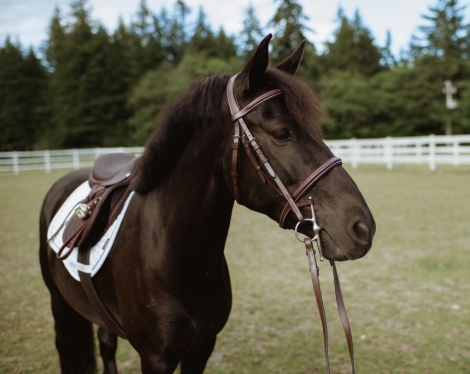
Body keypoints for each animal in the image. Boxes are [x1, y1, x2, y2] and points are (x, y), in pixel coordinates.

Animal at [39, 33, 374, 372]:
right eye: (282, 134)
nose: (363, 227)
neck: (179, 257)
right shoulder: (155, 358)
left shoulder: (202, 346)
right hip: (60, 307)